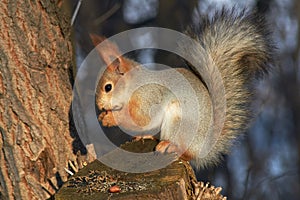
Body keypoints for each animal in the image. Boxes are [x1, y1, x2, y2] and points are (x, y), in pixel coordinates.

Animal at [91, 9, 274, 169]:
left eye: (108, 87)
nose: (99, 106)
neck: (134, 85)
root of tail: (204, 147)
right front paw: (104, 116)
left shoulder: (150, 97)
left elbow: (141, 119)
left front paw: (111, 118)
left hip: (178, 120)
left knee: (186, 154)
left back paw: (170, 146)